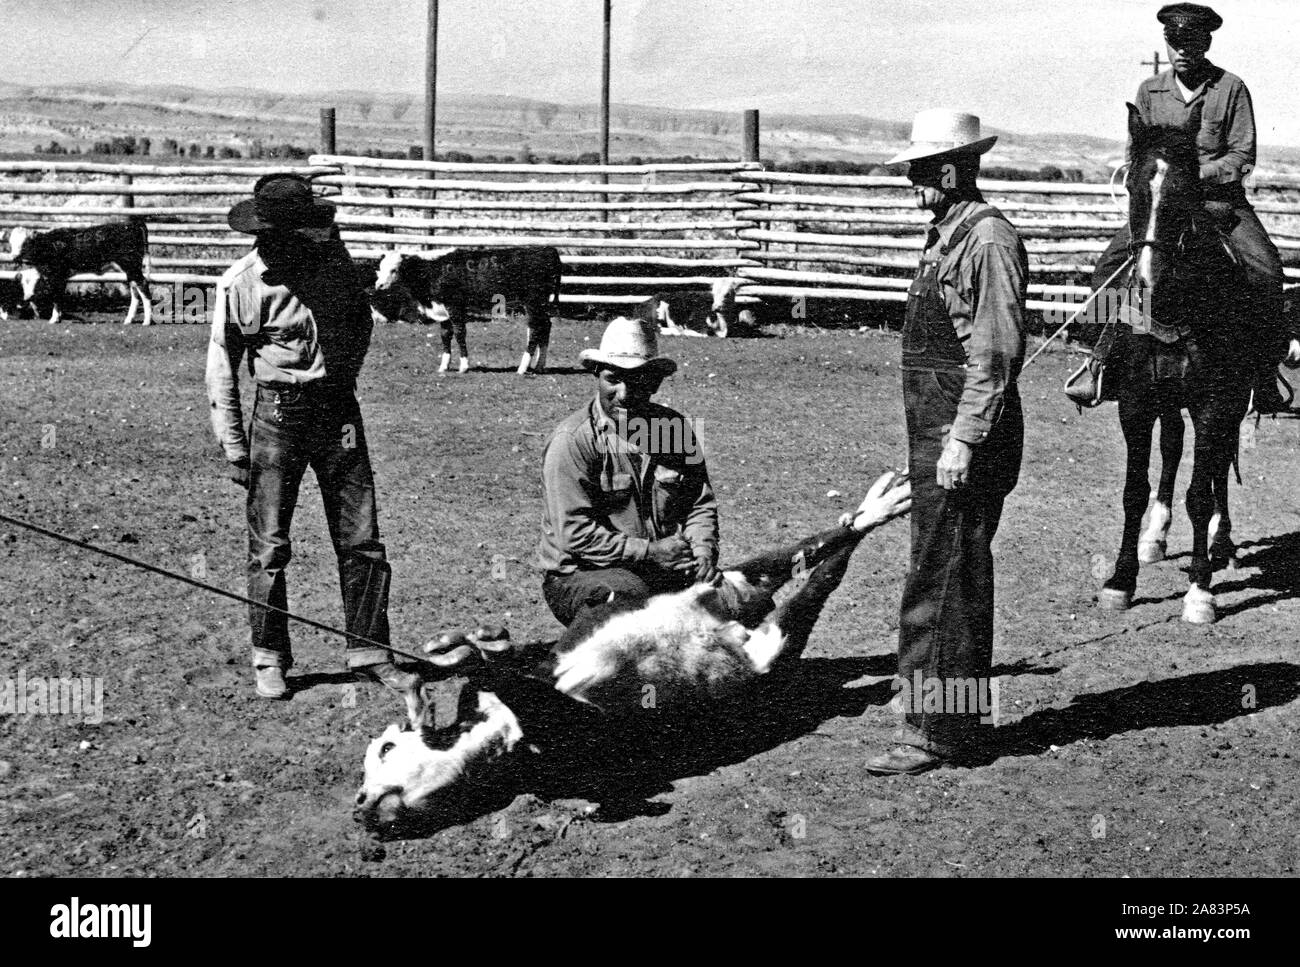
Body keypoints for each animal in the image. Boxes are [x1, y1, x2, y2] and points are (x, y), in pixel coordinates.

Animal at [7, 219, 152, 326]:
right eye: (11, 242)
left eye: (25, 243)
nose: (14, 257)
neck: (49, 245)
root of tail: (131, 224)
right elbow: (59, 296)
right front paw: (58, 317)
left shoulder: (58, 274)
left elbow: (56, 296)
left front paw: (54, 319)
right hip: (130, 269)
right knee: (135, 289)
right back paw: (129, 320)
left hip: (130, 265)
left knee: (143, 285)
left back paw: (147, 321)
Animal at [354, 470, 911, 836]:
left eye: (385, 749)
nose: (361, 806)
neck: (504, 733)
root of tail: (741, 613)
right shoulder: (586, 731)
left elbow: (498, 666)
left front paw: (461, 649)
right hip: (770, 639)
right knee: (824, 569)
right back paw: (883, 505)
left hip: (742, 581)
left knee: (822, 549)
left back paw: (884, 501)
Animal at [372, 247, 562, 374]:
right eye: (380, 268)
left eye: (394, 269)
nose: (379, 285)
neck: (434, 272)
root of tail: (547, 249)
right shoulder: (443, 310)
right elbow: (445, 335)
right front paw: (444, 365)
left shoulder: (455, 306)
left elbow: (459, 333)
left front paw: (463, 366)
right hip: (540, 304)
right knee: (545, 327)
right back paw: (539, 365)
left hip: (533, 301)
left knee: (536, 329)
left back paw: (522, 367)